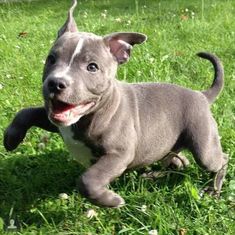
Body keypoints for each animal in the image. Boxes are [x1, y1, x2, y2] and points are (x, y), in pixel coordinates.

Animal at [3, 0, 228, 207]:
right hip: (169, 144)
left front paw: (110, 200)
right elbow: (26, 112)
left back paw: (213, 188)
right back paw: (152, 175)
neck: (94, 112)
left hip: (203, 145)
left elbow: (87, 179)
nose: (56, 83)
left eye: (92, 67)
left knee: (220, 160)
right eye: (51, 59)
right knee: (178, 162)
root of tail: (201, 95)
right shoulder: (58, 121)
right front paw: (11, 139)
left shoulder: (118, 154)